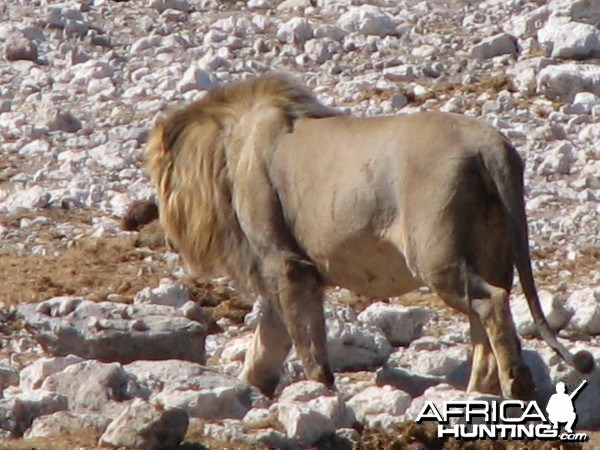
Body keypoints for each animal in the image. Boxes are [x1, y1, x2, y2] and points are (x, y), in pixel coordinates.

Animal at [144, 74, 592, 400]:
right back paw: (479, 392)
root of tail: (491, 145)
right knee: (486, 318)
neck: (226, 149)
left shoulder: (286, 263)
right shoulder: (278, 271)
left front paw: (318, 393)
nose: (164, 233)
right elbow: (268, 342)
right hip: (492, 252)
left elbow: (305, 341)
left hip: (436, 257)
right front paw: (252, 390)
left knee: (491, 303)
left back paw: (513, 384)